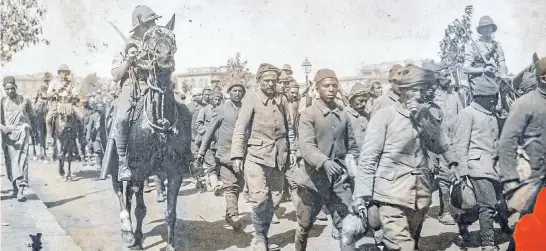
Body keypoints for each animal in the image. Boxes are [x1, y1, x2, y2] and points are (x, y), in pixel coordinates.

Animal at [104, 16, 191, 251]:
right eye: (150, 36)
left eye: (172, 36)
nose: (164, 57)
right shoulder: (139, 172)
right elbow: (140, 209)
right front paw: (136, 239)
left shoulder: (175, 173)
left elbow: (170, 212)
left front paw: (170, 245)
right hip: (117, 165)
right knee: (120, 191)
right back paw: (127, 230)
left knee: (126, 195)